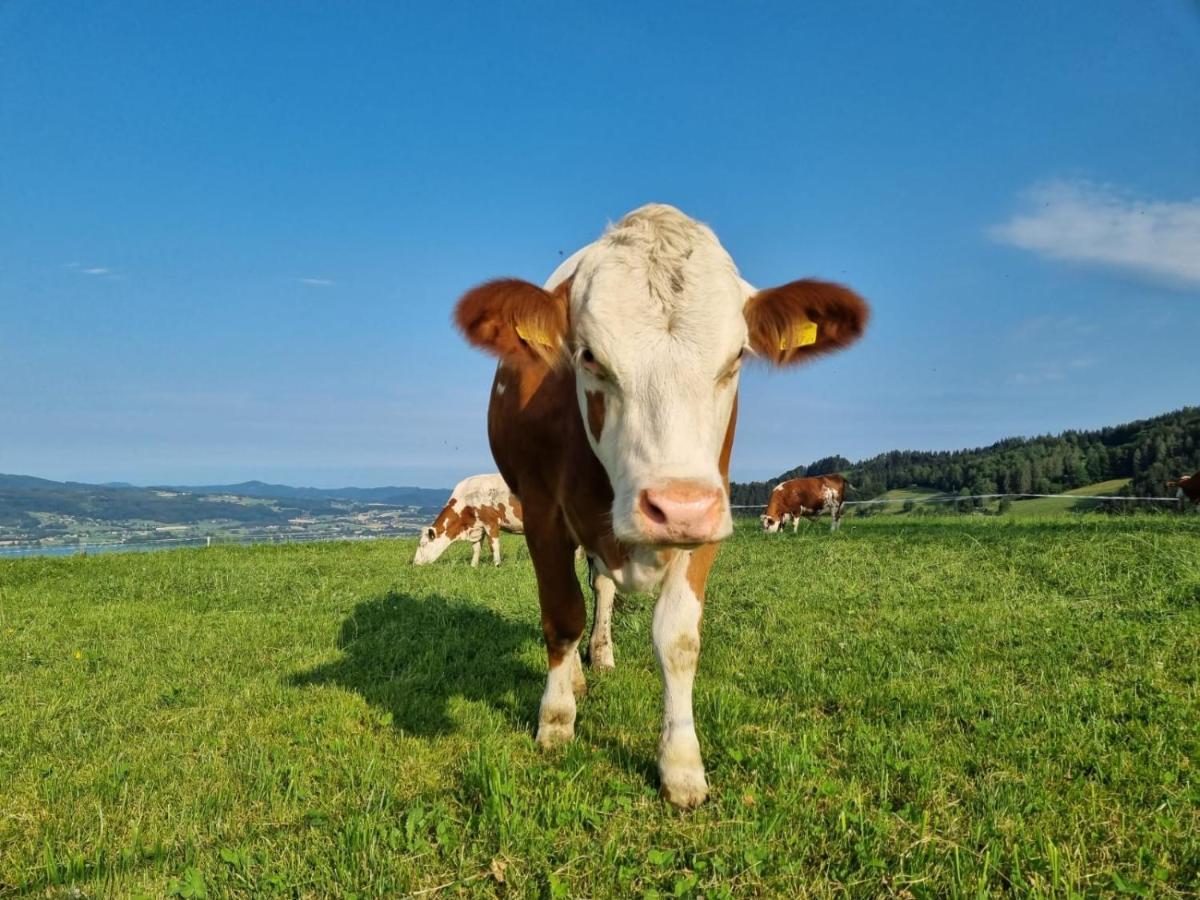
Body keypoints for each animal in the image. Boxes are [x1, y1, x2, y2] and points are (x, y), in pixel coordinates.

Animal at [453, 204, 868, 811]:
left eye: (736, 357)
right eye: (589, 356)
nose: (677, 508)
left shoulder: (709, 507)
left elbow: (676, 638)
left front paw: (681, 765)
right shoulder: (543, 512)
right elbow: (561, 616)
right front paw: (555, 721)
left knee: (602, 589)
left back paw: (599, 656)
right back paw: (575, 677)